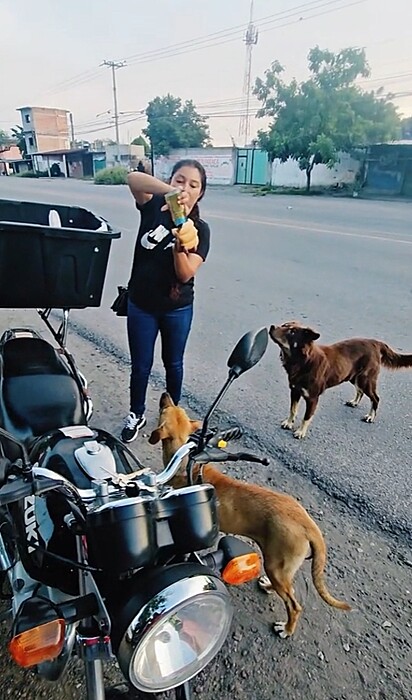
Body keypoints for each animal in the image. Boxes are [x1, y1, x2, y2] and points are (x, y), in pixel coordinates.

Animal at [150, 394, 350, 640]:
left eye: (165, 408)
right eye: (175, 408)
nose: (166, 395)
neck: (186, 462)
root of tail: (308, 524)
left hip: (276, 564)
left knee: (294, 605)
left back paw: (286, 629)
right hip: (281, 567)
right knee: (289, 588)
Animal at [270, 322, 412, 438]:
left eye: (292, 331)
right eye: (284, 325)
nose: (271, 326)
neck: (302, 361)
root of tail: (376, 342)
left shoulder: (312, 398)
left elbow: (307, 417)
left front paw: (300, 432)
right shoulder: (295, 391)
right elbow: (293, 410)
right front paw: (289, 423)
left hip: (365, 379)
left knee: (375, 398)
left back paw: (370, 416)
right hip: (353, 376)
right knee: (360, 391)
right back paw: (354, 402)